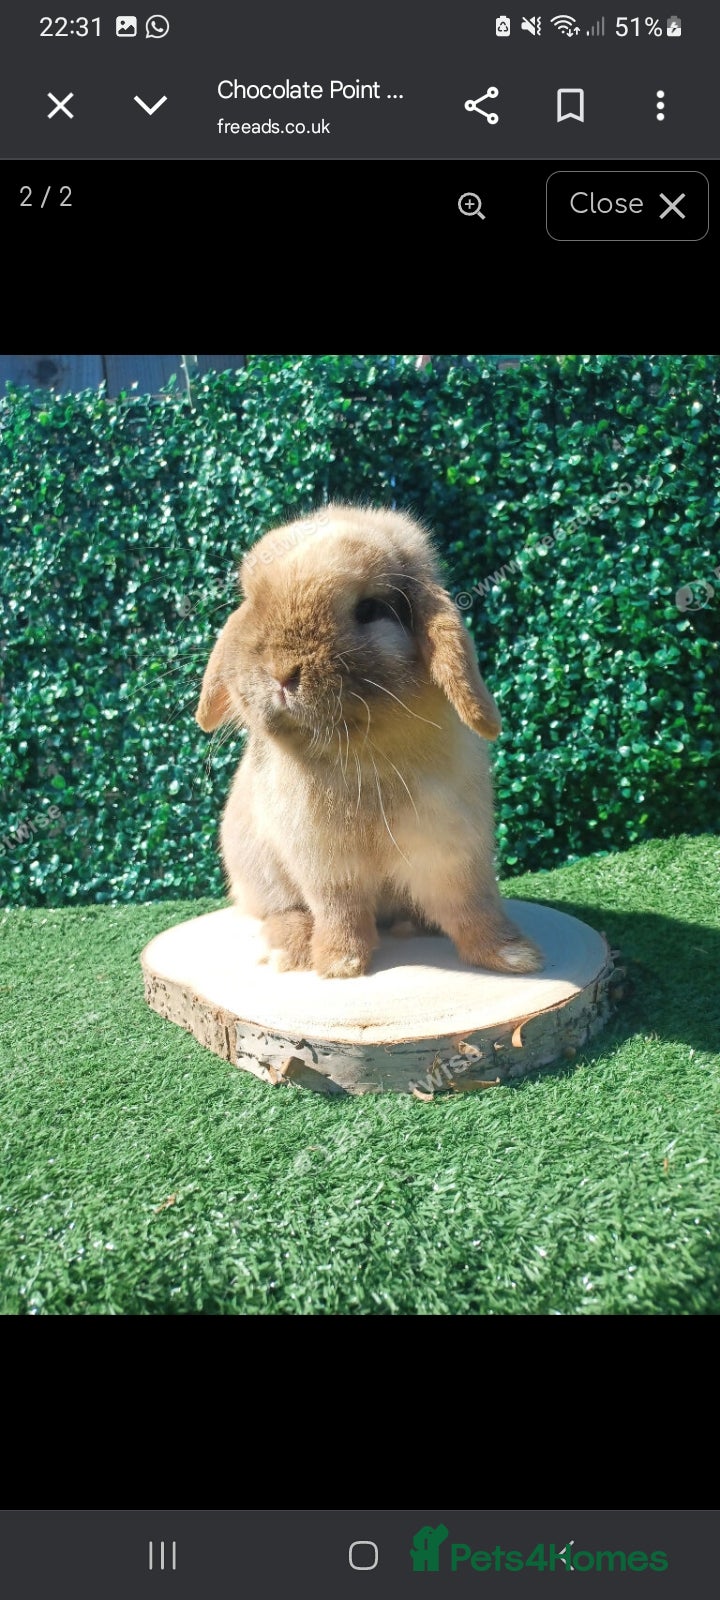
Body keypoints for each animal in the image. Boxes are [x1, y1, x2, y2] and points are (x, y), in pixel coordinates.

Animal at [195, 503, 543, 980]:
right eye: (253, 602)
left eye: (370, 608)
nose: (281, 672)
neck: (361, 749)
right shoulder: (324, 864)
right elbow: (340, 911)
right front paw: (338, 964)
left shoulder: (452, 852)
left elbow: (472, 907)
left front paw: (514, 956)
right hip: (257, 868)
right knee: (281, 911)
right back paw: (291, 949)